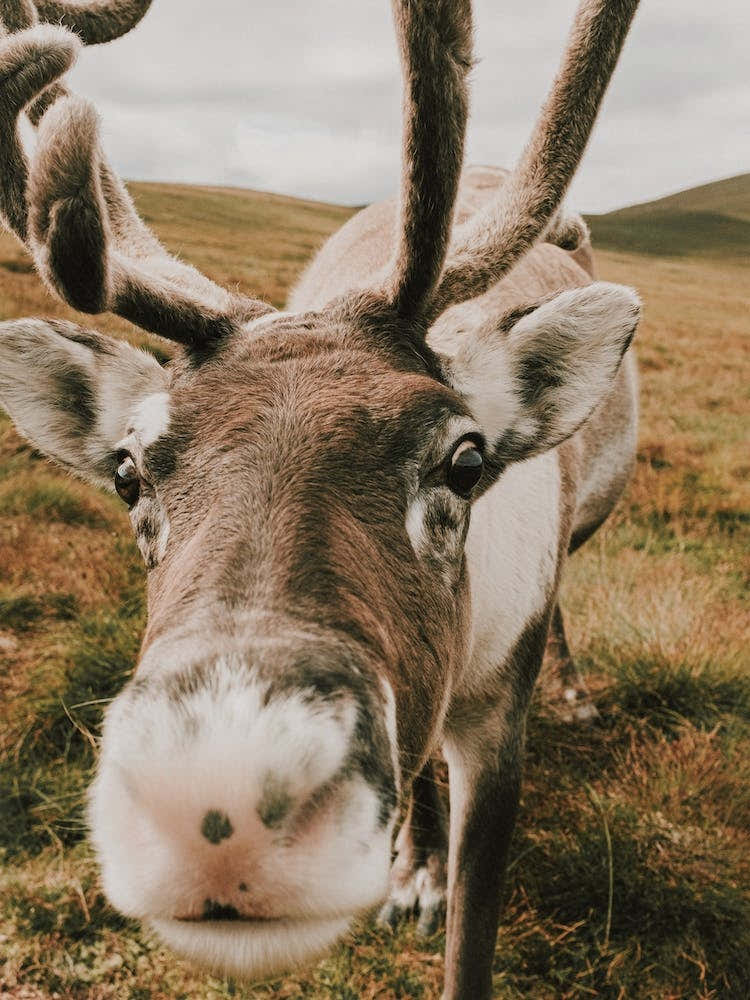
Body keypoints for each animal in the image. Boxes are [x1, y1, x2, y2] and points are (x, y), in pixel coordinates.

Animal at [0, 1, 642, 997]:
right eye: (127, 471)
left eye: (465, 461)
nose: (216, 809)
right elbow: (421, 781)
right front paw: (416, 874)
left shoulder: (499, 717)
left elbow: (474, 941)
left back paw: (576, 694)